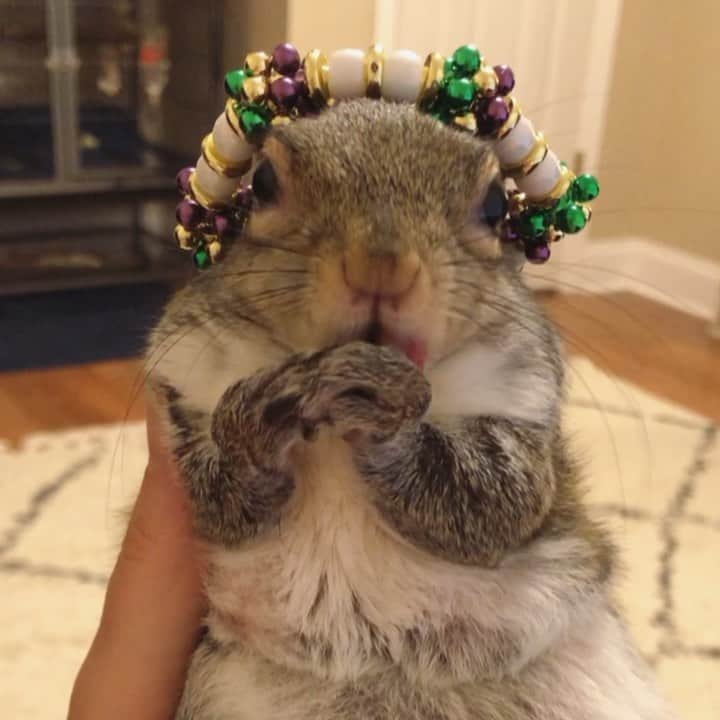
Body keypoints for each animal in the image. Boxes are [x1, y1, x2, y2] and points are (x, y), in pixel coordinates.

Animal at [148, 100, 675, 719]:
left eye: (496, 204)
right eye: (264, 182)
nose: (381, 265)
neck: (333, 433)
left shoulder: (529, 400)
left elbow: (499, 500)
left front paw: (391, 420)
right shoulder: (185, 378)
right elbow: (216, 494)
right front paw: (254, 429)